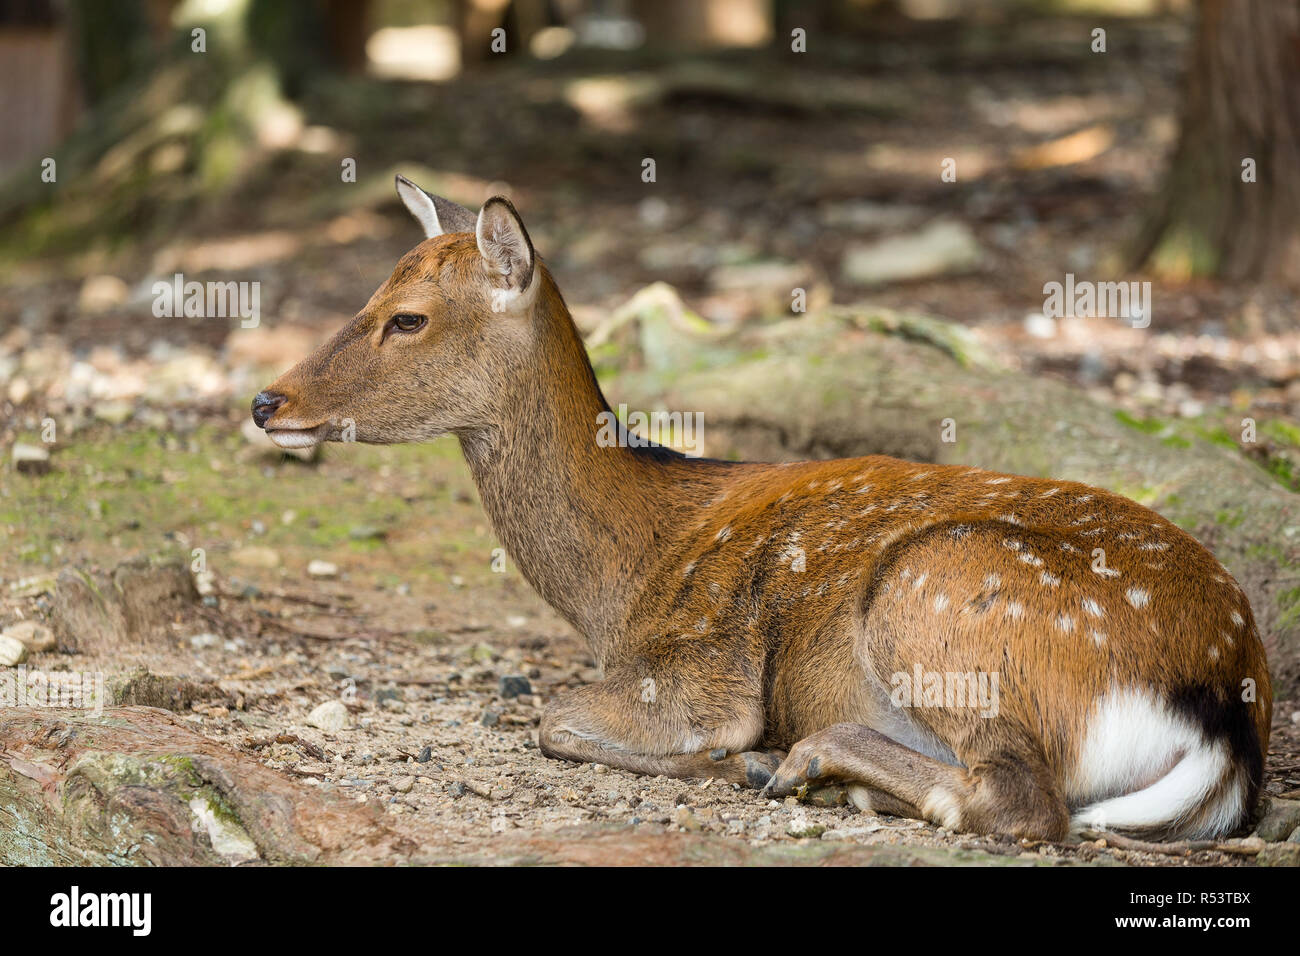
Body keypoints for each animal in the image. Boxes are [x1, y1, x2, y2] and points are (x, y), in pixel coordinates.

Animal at [251, 175, 1272, 842]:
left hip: (939, 590)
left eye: (409, 318)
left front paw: (733, 760)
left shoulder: (699, 672)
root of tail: (1223, 713)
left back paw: (804, 764)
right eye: (375, 291)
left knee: (1022, 803)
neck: (621, 583)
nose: (266, 400)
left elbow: (554, 718)